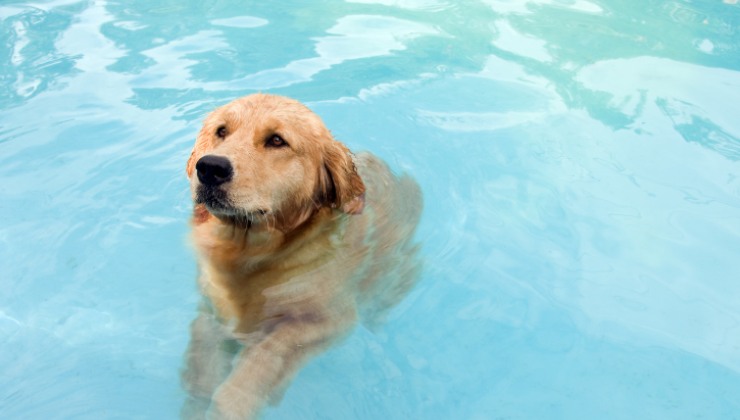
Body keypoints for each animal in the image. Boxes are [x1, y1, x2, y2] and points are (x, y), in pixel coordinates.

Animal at [180, 93, 422, 418]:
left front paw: (235, 402)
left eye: (277, 140)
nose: (209, 167)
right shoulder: (212, 313)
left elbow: (263, 356)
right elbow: (201, 377)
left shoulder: (329, 320)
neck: (252, 253)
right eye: (221, 131)